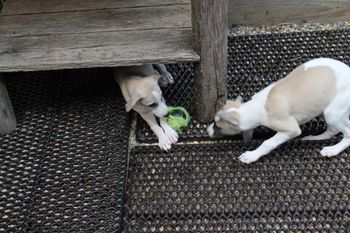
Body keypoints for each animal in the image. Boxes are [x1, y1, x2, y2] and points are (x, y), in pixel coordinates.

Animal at [208, 58, 350, 164]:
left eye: (217, 126)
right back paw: (315, 138)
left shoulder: (291, 129)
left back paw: (333, 150)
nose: (207, 131)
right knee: (334, 129)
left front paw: (252, 155)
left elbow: (267, 143)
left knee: (346, 133)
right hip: (332, 112)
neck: (256, 107)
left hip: (332, 113)